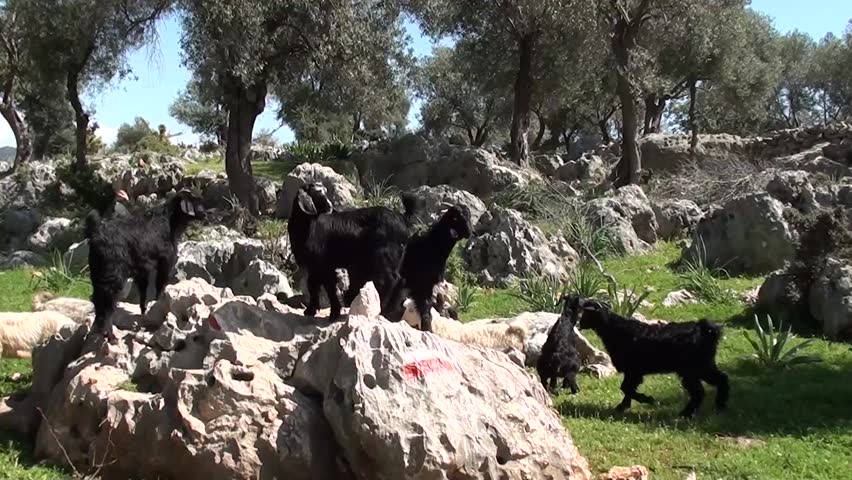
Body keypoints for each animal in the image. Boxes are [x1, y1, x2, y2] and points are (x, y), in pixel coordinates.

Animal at [86, 190, 205, 343]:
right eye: (195, 201)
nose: (205, 214)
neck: (169, 222)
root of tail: (95, 235)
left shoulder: (142, 269)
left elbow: (143, 292)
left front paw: (144, 313)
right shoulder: (165, 261)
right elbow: (160, 284)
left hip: (97, 273)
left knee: (97, 300)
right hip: (113, 274)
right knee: (108, 302)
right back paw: (111, 336)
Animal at [287, 183, 417, 319]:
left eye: (324, 191)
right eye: (317, 192)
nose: (329, 206)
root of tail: (402, 218)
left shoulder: (320, 263)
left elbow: (322, 285)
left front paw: (324, 312)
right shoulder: (318, 265)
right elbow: (319, 285)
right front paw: (323, 311)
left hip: (384, 256)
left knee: (390, 279)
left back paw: (385, 308)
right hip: (396, 258)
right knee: (401, 280)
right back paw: (391, 309)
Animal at [570, 294, 729, 417]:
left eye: (586, 313)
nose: (578, 324)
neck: (614, 329)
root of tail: (705, 330)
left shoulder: (633, 370)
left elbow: (626, 388)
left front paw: (647, 400)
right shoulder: (632, 372)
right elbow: (627, 389)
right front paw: (623, 406)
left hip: (694, 368)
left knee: (701, 391)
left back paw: (688, 413)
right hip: (703, 365)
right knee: (719, 380)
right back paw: (719, 406)